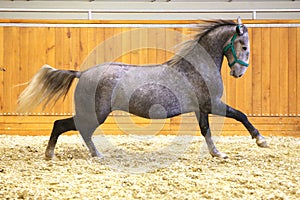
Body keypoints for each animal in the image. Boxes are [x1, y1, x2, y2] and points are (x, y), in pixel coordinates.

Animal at [18, 18, 268, 160]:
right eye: (244, 46)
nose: (239, 73)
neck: (196, 67)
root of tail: (82, 73)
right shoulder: (213, 103)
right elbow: (241, 115)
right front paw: (261, 140)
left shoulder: (202, 108)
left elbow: (205, 130)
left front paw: (217, 153)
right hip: (95, 112)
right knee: (66, 125)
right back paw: (59, 154)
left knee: (77, 129)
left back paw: (89, 154)